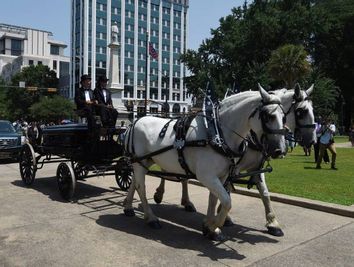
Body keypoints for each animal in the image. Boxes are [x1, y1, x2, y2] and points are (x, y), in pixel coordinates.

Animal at [123, 87, 286, 240]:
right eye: (269, 116)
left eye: (283, 117)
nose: (280, 150)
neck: (217, 133)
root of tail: (136, 121)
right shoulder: (206, 176)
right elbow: (227, 201)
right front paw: (213, 225)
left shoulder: (222, 175)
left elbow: (214, 199)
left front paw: (211, 228)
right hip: (140, 161)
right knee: (141, 187)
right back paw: (151, 218)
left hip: (144, 161)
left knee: (134, 182)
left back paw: (128, 206)